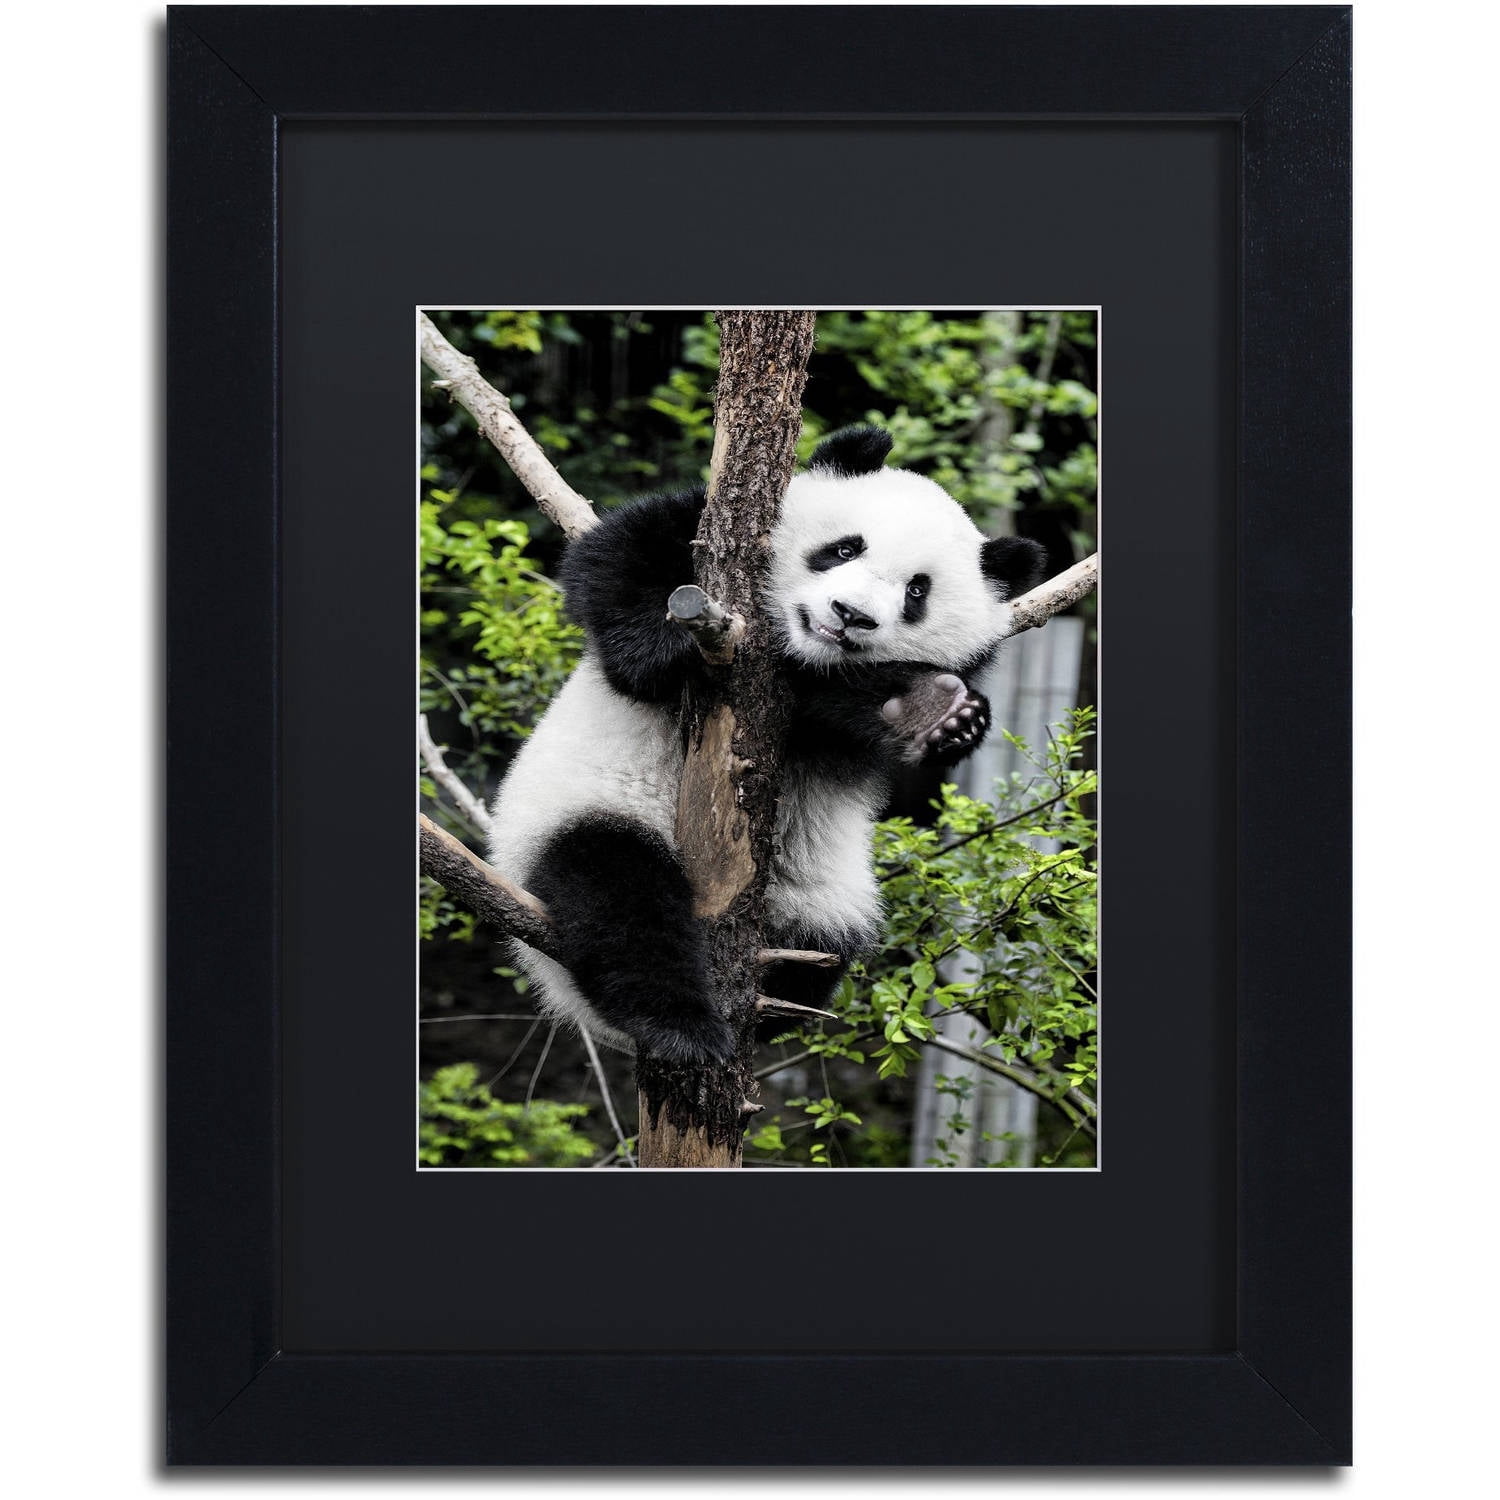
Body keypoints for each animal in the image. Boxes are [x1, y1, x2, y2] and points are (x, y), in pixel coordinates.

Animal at [487, 426, 1046, 1064]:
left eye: (916, 591)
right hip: (572, 813)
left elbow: (895, 767)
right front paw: (664, 648)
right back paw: (678, 1025)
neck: (796, 652)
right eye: (844, 549)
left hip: (821, 899)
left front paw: (934, 714)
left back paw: (771, 1005)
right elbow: (616, 562)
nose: (849, 615)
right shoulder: (699, 538)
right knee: (619, 898)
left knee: (825, 947)